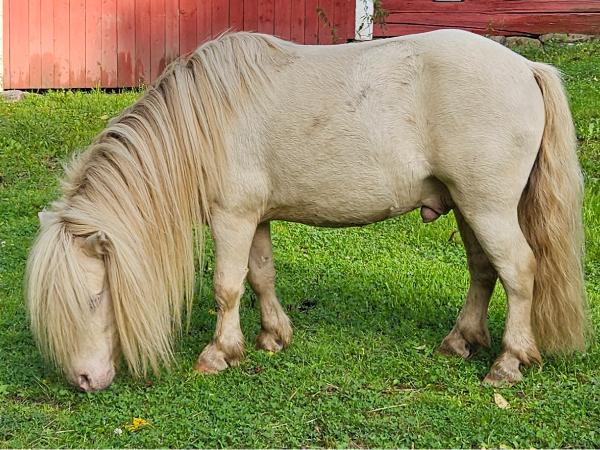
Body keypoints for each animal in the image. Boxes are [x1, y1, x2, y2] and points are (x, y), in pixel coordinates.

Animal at [26, 29, 588, 392]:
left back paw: (508, 363)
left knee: (519, 271)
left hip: (488, 207)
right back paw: (460, 341)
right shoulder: (254, 217)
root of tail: (526, 67)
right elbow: (260, 276)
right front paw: (272, 337)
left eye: (95, 298)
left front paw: (218, 354)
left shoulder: (231, 217)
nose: (84, 381)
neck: (206, 119)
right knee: (483, 270)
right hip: (469, 208)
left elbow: (227, 286)